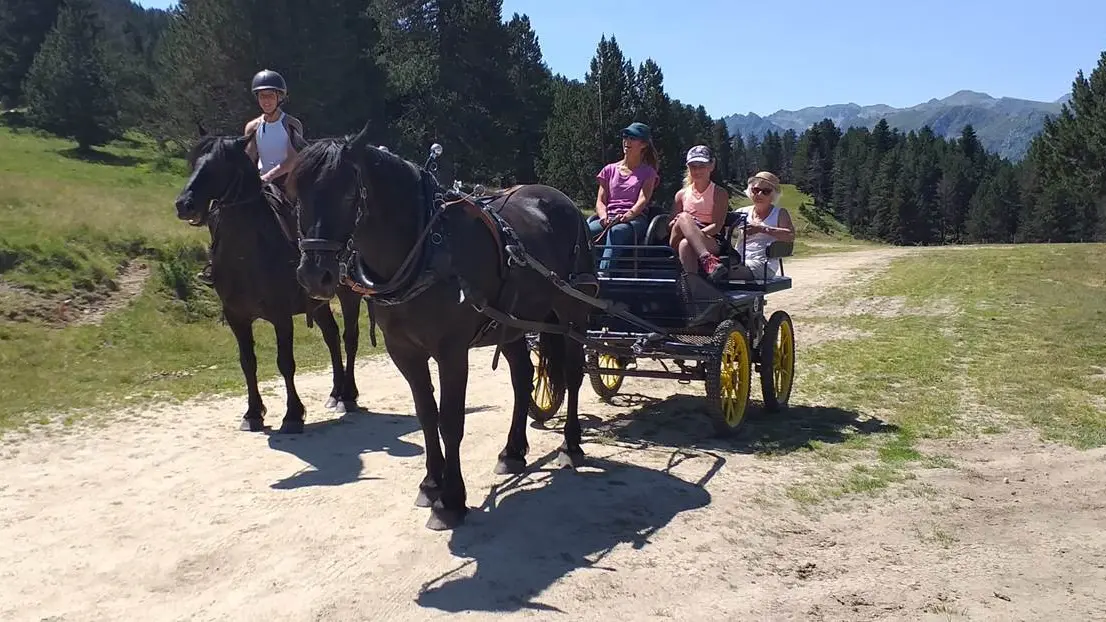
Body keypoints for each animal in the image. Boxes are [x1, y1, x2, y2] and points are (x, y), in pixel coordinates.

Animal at [174, 129, 367, 431]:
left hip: (348, 296)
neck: (247, 254)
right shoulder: (236, 317)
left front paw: (293, 414)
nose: (185, 204)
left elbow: (285, 362)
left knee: (349, 338)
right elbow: (247, 362)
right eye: (194, 162)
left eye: (220, 164)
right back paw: (335, 393)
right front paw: (253, 413)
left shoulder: (280, 315)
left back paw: (348, 395)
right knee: (332, 337)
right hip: (319, 301)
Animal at [291, 124, 597, 526]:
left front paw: (451, 498)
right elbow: (426, 415)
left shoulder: (452, 351)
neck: (426, 251)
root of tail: (563, 202)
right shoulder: (404, 351)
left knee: (574, 374)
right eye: (296, 194)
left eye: (346, 193)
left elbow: (450, 421)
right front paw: (431, 484)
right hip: (512, 323)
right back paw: (512, 451)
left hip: (572, 310)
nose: (315, 276)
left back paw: (571, 444)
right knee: (522, 378)